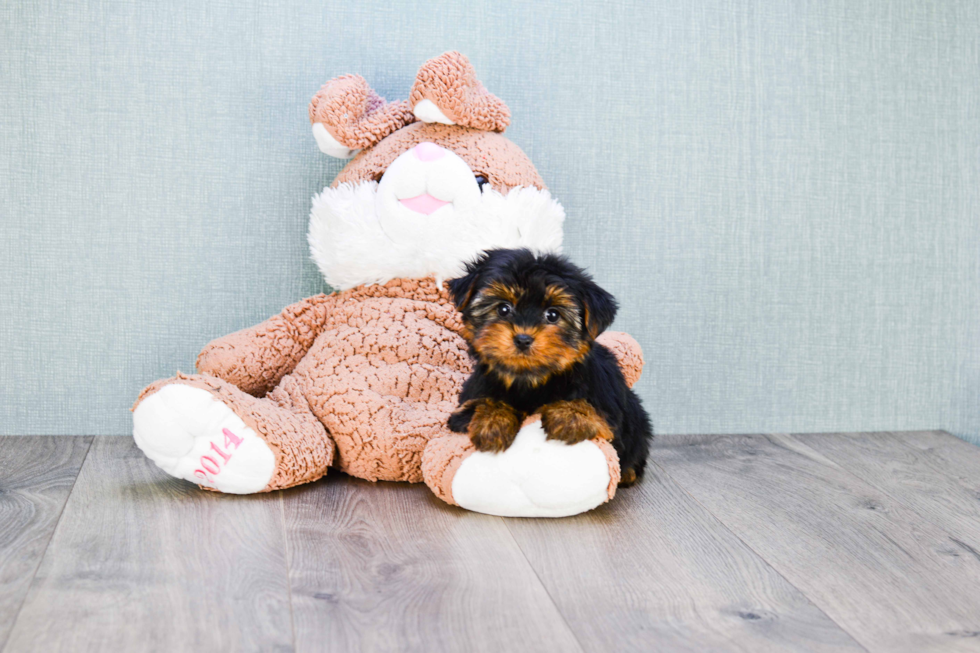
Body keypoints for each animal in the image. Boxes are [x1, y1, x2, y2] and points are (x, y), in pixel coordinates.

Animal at [448, 247, 656, 486]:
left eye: (553, 314)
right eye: (503, 309)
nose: (523, 339)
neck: (532, 378)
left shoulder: (610, 410)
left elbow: (598, 414)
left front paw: (570, 416)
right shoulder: (468, 400)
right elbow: (482, 403)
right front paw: (492, 420)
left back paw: (628, 472)